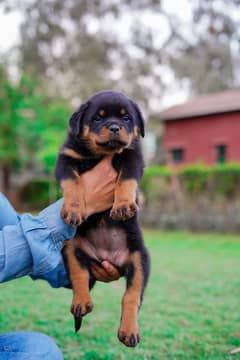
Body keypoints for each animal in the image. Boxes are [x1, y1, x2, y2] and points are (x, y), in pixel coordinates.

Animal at [55, 90, 151, 348]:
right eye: (97, 118)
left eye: (126, 118)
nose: (115, 127)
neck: (100, 153)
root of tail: (108, 257)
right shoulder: (66, 159)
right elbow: (72, 182)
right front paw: (74, 209)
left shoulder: (132, 157)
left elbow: (126, 179)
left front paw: (124, 204)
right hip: (72, 249)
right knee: (79, 275)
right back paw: (81, 302)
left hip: (139, 259)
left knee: (131, 296)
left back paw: (129, 331)